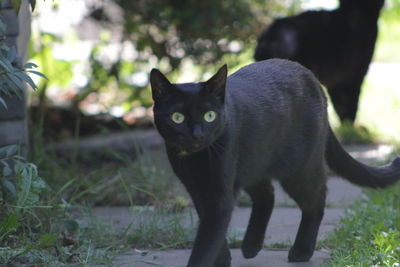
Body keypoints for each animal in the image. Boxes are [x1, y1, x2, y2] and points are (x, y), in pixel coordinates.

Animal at [150, 59, 400, 267]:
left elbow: (207, 238)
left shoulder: (219, 192)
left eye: (209, 116)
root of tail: (313, 80)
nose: (197, 135)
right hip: (255, 162)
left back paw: (301, 251)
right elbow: (210, 229)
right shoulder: (196, 189)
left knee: (316, 199)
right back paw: (251, 245)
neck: (195, 158)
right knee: (267, 194)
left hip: (299, 168)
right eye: (177, 118)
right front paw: (222, 260)